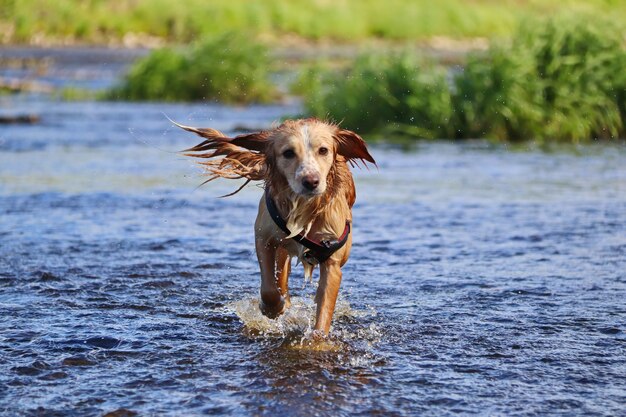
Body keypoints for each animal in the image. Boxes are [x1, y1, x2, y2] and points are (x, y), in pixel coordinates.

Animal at [173, 117, 372, 334]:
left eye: (323, 150)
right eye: (288, 153)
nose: (311, 181)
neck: (304, 208)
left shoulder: (332, 260)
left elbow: (324, 312)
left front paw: (317, 338)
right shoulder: (264, 238)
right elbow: (269, 289)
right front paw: (273, 308)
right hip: (282, 249)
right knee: (281, 278)